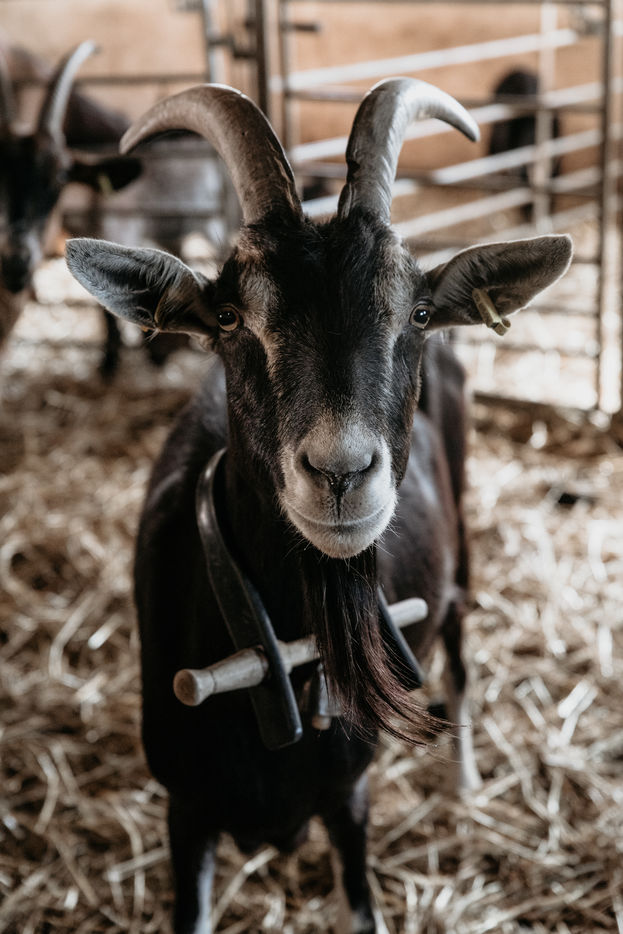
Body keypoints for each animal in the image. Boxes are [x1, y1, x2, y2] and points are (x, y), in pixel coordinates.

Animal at [66, 78, 572, 933]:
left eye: (416, 315)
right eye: (229, 318)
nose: (341, 474)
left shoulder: (348, 797)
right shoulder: (185, 810)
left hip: (462, 551)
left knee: (461, 646)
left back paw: (466, 780)